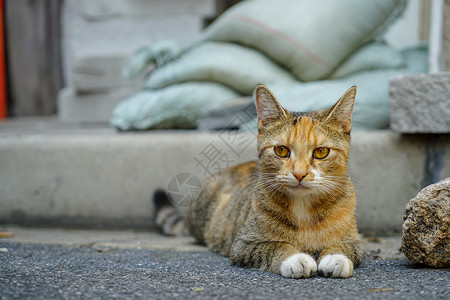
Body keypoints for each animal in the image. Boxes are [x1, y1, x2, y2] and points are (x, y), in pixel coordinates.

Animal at [155, 85, 362, 278]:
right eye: (281, 150)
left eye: (321, 152)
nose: (299, 174)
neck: (303, 207)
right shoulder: (244, 244)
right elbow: (274, 246)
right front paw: (295, 258)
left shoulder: (355, 240)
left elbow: (346, 247)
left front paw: (335, 257)